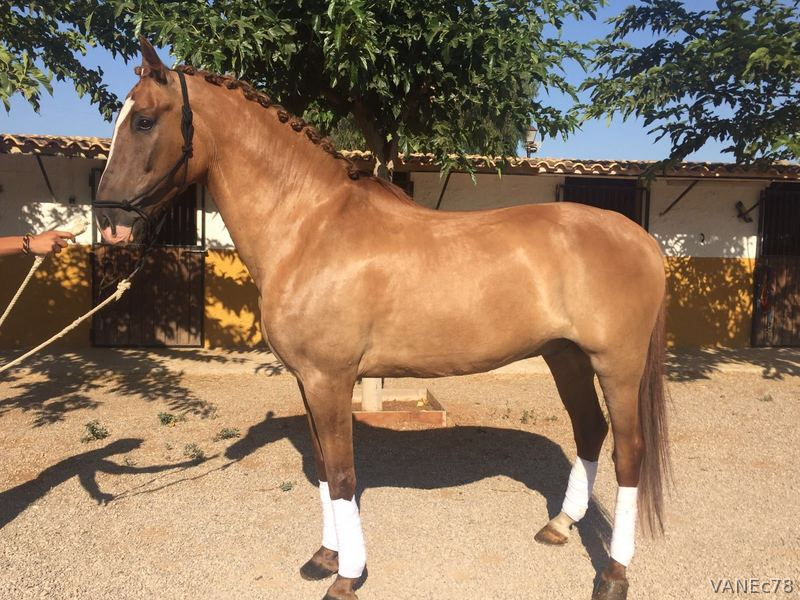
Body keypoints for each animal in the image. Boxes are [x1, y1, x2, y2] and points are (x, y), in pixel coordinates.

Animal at [95, 38, 669, 600]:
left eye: (143, 120)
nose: (108, 223)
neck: (310, 226)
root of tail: (641, 239)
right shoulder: (308, 380)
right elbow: (325, 470)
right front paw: (325, 557)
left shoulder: (330, 378)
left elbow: (344, 475)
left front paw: (347, 577)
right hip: (565, 357)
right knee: (590, 430)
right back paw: (560, 525)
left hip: (616, 366)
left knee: (629, 455)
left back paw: (613, 575)